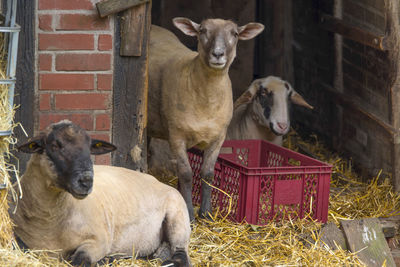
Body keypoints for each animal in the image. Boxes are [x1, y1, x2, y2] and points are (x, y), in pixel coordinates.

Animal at [9, 121, 191, 267]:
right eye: (54, 146)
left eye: (90, 148)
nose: (87, 181)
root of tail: (157, 180)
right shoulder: (20, 242)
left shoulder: (98, 241)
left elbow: (80, 261)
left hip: (178, 219)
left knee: (181, 255)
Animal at [148, 17, 264, 222]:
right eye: (202, 31)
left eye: (235, 34)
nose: (218, 54)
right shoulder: (176, 135)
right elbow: (186, 173)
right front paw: (190, 213)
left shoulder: (218, 138)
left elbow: (208, 174)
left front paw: (207, 213)